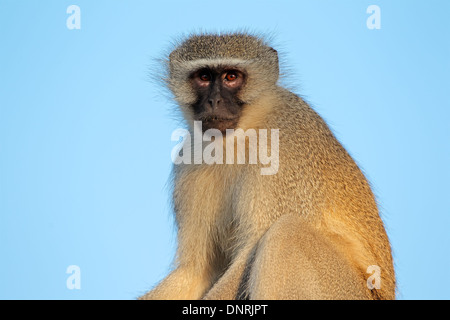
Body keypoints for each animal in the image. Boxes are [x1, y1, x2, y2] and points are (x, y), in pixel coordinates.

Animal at [140, 32, 394, 300]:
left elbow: (251, 249)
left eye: (231, 77)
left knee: (286, 234)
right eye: (204, 77)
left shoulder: (283, 156)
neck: (241, 135)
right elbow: (195, 271)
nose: (214, 101)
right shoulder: (189, 158)